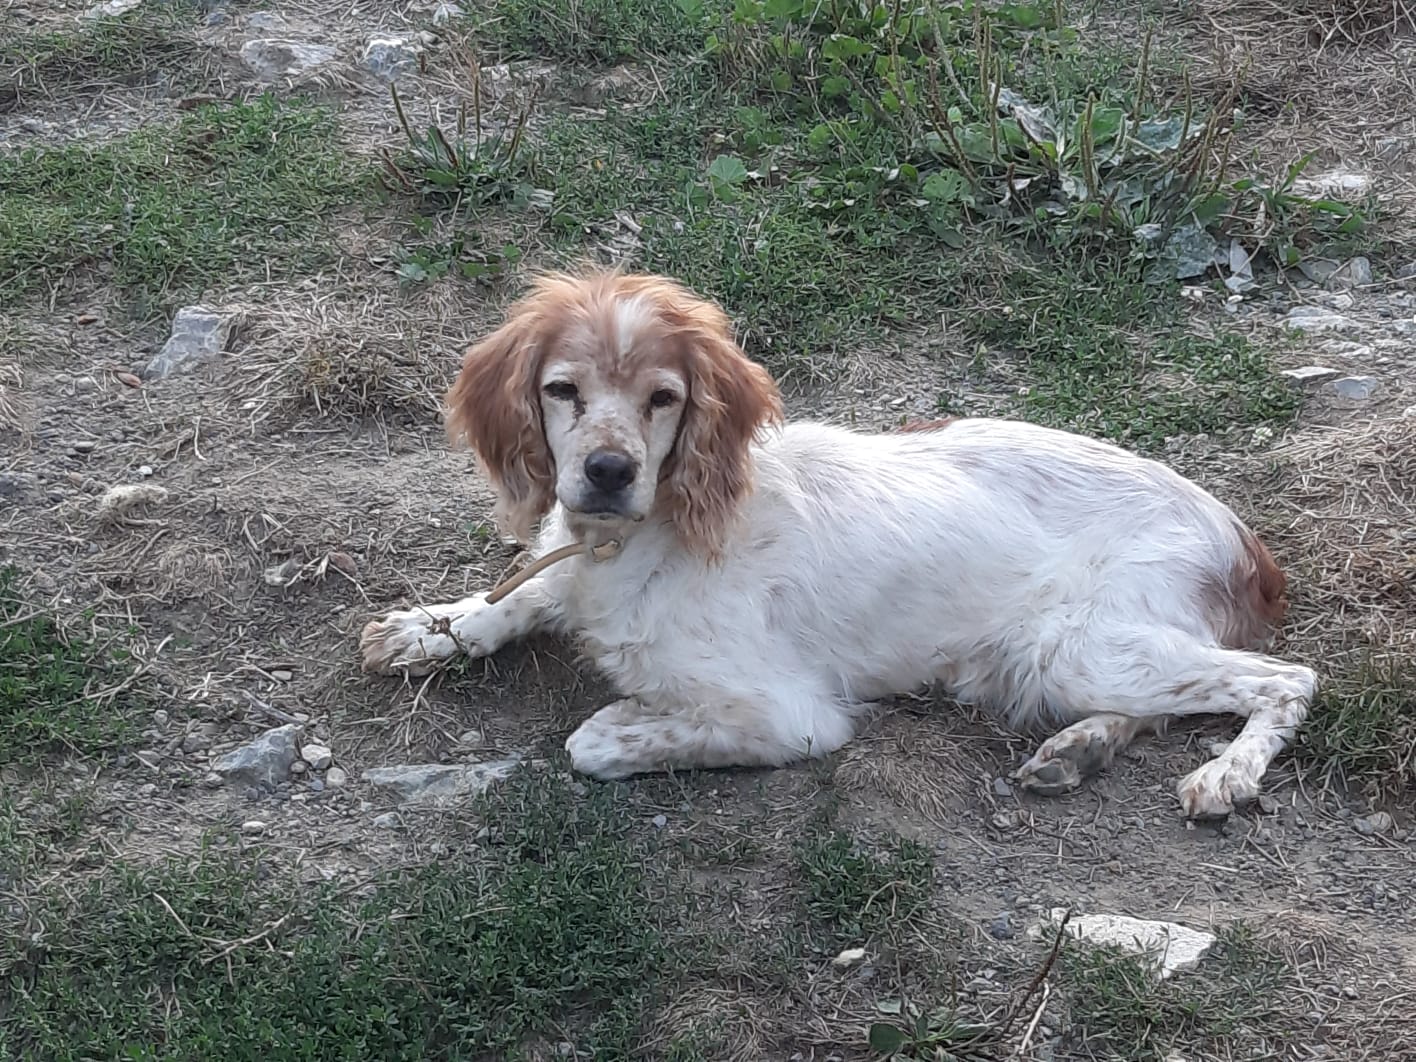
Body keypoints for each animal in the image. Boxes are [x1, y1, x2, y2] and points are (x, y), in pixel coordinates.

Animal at [360, 270, 1316, 819]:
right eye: (563, 390)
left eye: (664, 398)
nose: (606, 470)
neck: (638, 540)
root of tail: (1243, 540)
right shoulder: (566, 558)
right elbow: (520, 587)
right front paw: (426, 627)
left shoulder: (794, 717)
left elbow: (597, 741)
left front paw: (627, 716)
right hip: (1056, 659)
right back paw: (1078, 749)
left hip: (1070, 642)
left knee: (1288, 679)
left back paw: (1228, 774)